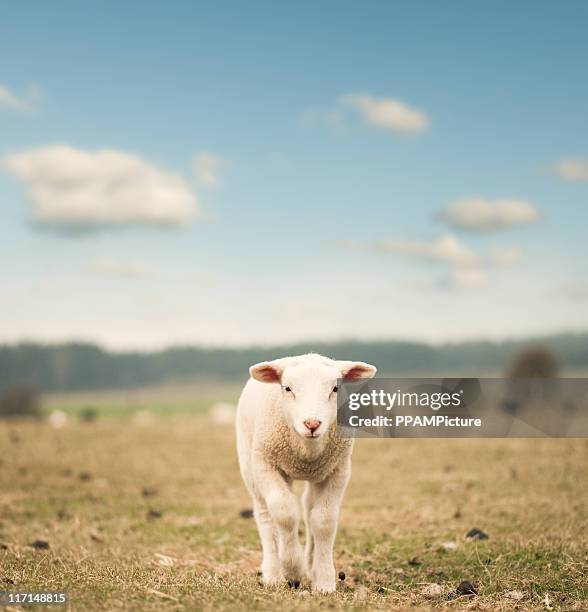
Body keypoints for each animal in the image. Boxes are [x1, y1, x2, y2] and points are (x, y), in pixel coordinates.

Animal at [235, 354, 376, 592]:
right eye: (288, 388)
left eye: (335, 388)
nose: (312, 423)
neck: (306, 454)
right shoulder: (265, 464)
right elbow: (284, 512)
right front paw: (293, 569)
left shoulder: (338, 470)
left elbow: (324, 521)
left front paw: (324, 581)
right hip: (250, 464)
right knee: (265, 517)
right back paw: (273, 573)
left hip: (317, 473)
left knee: (308, 508)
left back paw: (310, 564)